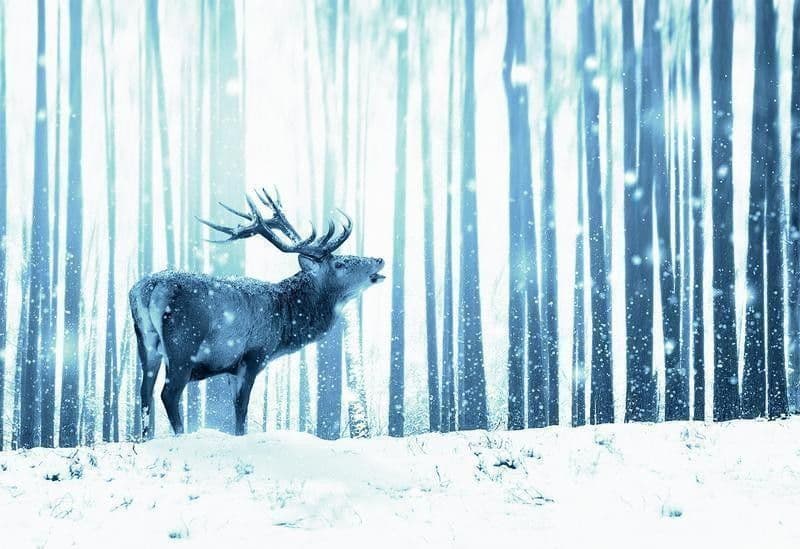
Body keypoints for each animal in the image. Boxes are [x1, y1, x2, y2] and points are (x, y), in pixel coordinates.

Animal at [129, 189, 385, 438]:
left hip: (146, 343)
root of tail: (149, 288)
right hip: (183, 344)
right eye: (340, 264)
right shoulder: (254, 354)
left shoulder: (230, 366)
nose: (379, 259)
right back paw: (180, 436)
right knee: (168, 393)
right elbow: (242, 409)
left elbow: (235, 408)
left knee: (145, 392)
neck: (284, 323)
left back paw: (145, 438)